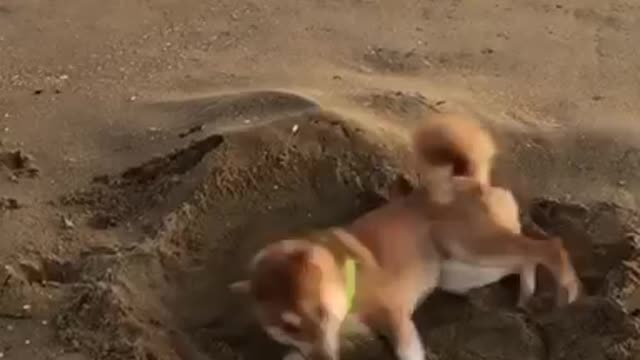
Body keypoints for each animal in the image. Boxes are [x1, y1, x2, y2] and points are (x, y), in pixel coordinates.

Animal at [231, 114, 584, 360]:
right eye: (289, 326)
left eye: (320, 312)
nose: (325, 359)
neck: (343, 278)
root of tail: (469, 179)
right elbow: (297, 353)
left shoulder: (395, 317)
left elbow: (405, 350)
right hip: (465, 271)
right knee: (525, 257)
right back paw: (526, 295)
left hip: (473, 245)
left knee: (548, 247)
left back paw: (567, 292)